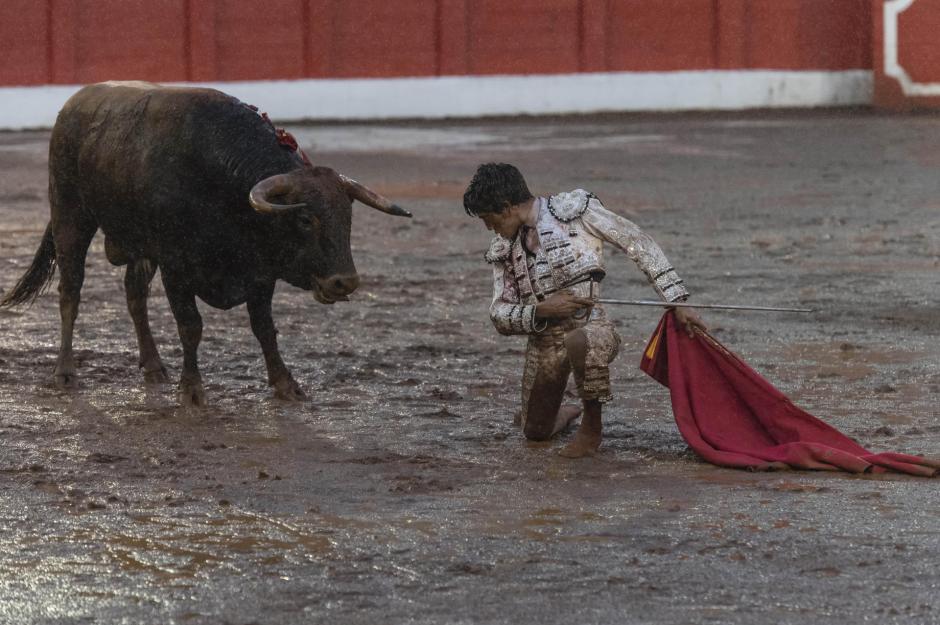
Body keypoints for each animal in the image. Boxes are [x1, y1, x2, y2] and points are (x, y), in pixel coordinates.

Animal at [0, 81, 412, 404]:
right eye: (305, 219)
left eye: (348, 216)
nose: (344, 282)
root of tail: (74, 104)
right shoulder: (176, 267)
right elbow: (191, 326)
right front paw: (192, 389)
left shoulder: (259, 274)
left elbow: (264, 329)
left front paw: (286, 384)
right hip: (71, 218)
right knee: (70, 293)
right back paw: (65, 372)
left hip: (140, 247)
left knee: (135, 296)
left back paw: (154, 366)